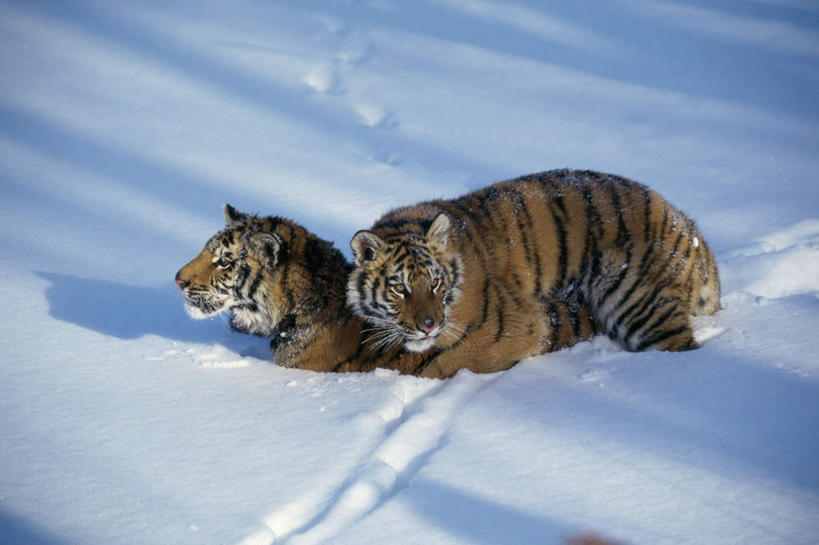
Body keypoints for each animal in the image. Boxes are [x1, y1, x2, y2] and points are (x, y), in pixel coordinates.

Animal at [350, 168, 720, 376]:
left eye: (436, 283)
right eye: (400, 287)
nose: (428, 326)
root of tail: (690, 228)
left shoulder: (512, 329)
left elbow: (443, 364)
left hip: (637, 300)